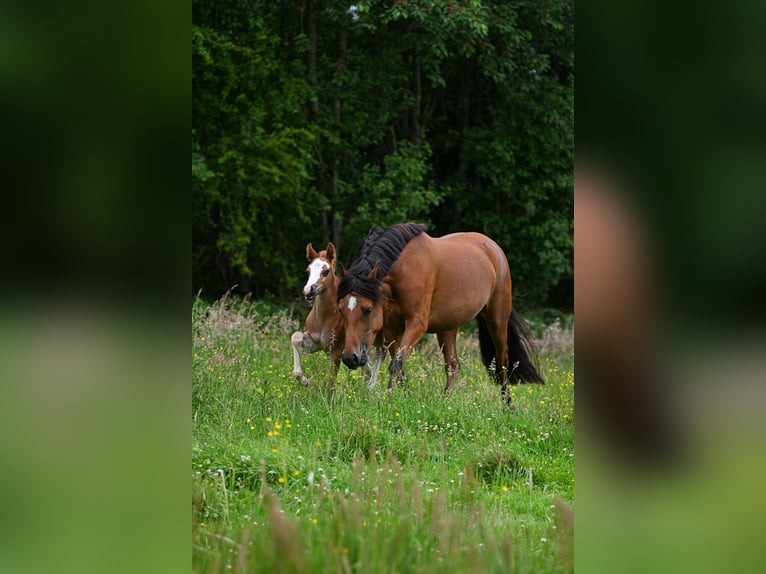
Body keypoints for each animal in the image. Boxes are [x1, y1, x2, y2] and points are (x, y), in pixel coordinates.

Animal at [291, 242, 384, 388]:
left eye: (326, 271)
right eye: (308, 271)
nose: (308, 290)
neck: (324, 318)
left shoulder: (335, 351)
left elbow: (330, 382)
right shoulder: (315, 345)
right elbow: (295, 337)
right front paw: (306, 381)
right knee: (366, 367)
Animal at [336, 223, 543, 404]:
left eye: (368, 309)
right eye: (341, 310)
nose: (350, 358)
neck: (403, 268)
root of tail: (493, 249)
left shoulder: (416, 325)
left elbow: (397, 364)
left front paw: (391, 400)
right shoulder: (391, 327)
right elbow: (398, 366)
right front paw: (405, 398)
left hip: (497, 320)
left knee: (502, 362)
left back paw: (507, 405)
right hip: (448, 327)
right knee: (453, 366)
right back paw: (446, 401)